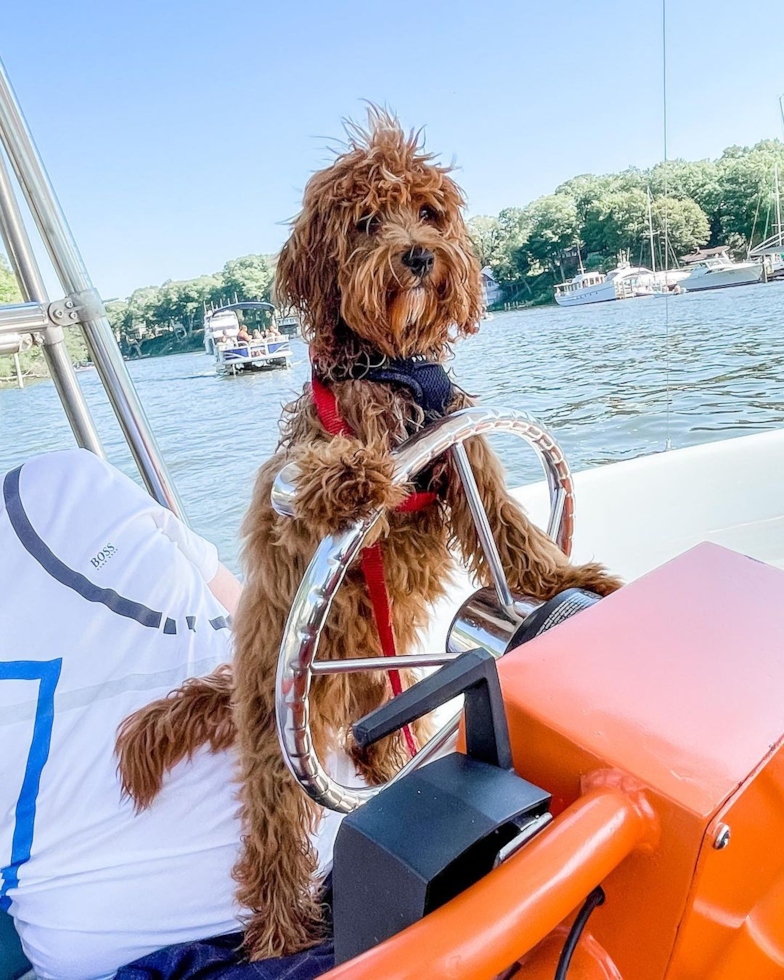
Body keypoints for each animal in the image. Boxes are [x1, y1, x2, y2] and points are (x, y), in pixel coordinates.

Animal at [116, 111, 620, 960]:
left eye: (429, 212)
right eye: (364, 222)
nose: (418, 255)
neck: (390, 365)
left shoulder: (456, 440)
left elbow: (507, 520)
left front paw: (565, 581)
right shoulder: (323, 452)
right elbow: (315, 474)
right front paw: (352, 475)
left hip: (372, 694)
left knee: (372, 744)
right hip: (276, 739)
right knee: (271, 843)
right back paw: (282, 929)